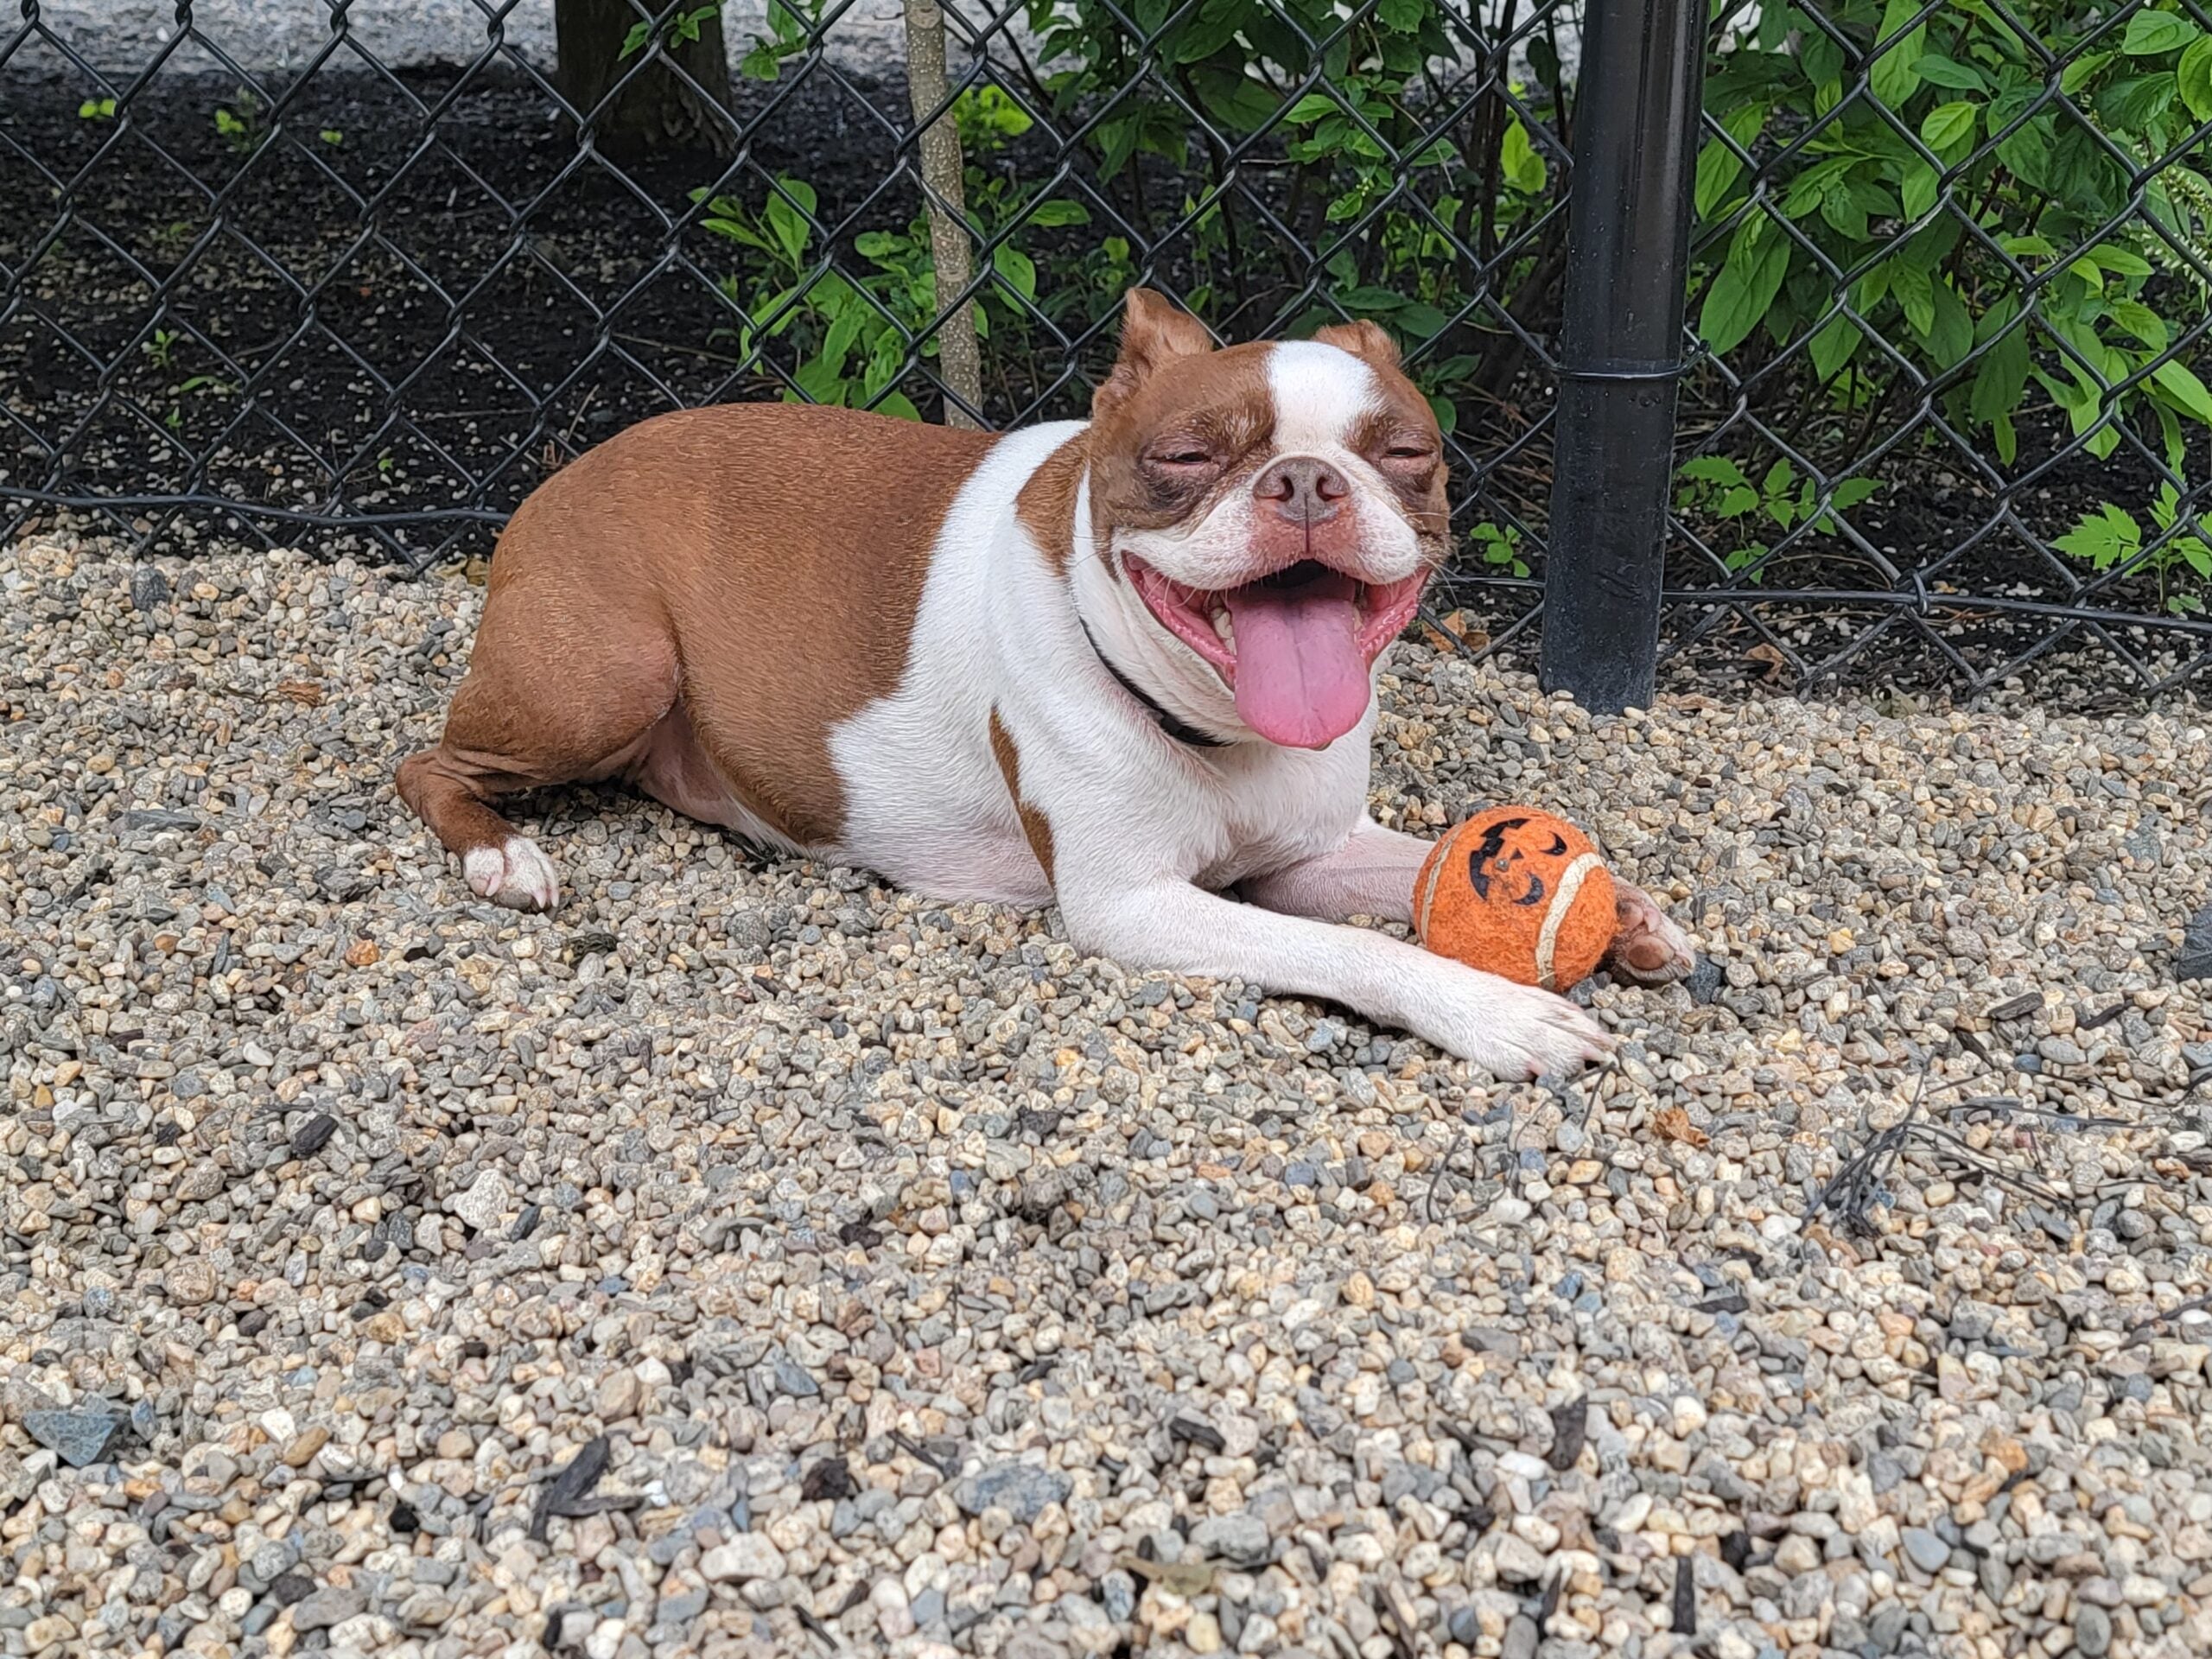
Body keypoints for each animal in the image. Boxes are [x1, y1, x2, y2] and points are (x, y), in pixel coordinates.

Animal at [397, 291, 1681, 1079]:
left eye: (1403, 455)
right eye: (1186, 457)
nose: (1309, 480)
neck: (1219, 729)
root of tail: (559, 470)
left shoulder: (1313, 852)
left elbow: (1424, 865)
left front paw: (1626, 913)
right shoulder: (1132, 905)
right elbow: (1365, 953)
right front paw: (1500, 1013)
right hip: (604, 677)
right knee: (424, 762)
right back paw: (500, 855)